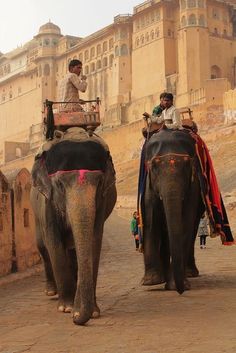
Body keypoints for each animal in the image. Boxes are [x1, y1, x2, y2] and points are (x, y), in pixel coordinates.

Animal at [30, 138, 117, 324]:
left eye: (99, 183)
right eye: (60, 185)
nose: (76, 318)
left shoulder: (101, 202)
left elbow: (94, 240)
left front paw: (91, 312)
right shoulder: (47, 203)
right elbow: (54, 243)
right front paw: (67, 308)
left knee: (72, 252)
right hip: (35, 212)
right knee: (42, 247)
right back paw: (51, 291)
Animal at [141, 128, 206, 292]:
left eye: (187, 164)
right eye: (154, 165)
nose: (181, 291)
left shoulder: (192, 188)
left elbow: (184, 224)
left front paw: (176, 285)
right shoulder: (148, 188)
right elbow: (151, 222)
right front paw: (151, 282)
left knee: (192, 229)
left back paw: (189, 273)